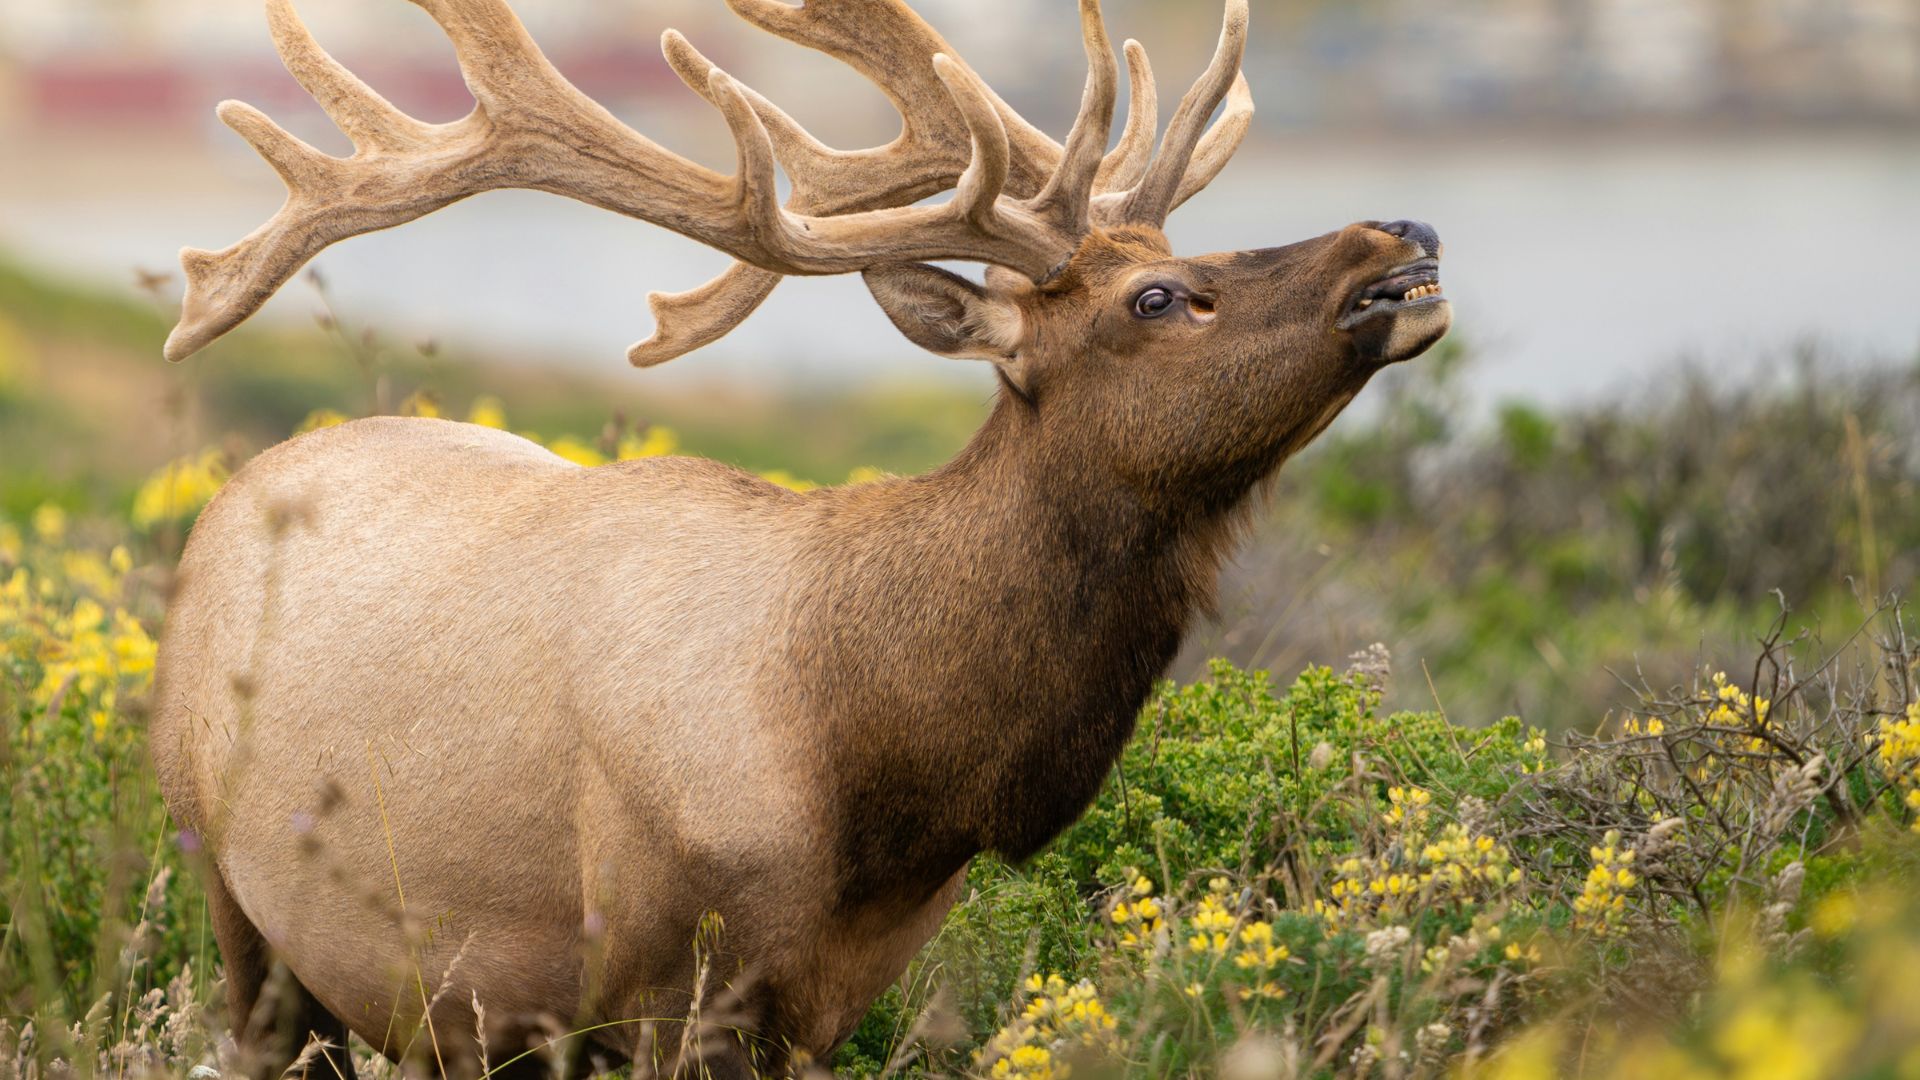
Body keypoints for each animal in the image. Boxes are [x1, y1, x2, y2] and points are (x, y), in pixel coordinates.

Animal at [148, 0, 1451, 1076]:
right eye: (1160, 298)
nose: (1401, 236)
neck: (877, 769)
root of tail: (232, 495)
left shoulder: (830, 995)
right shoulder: (664, 983)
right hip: (229, 894)